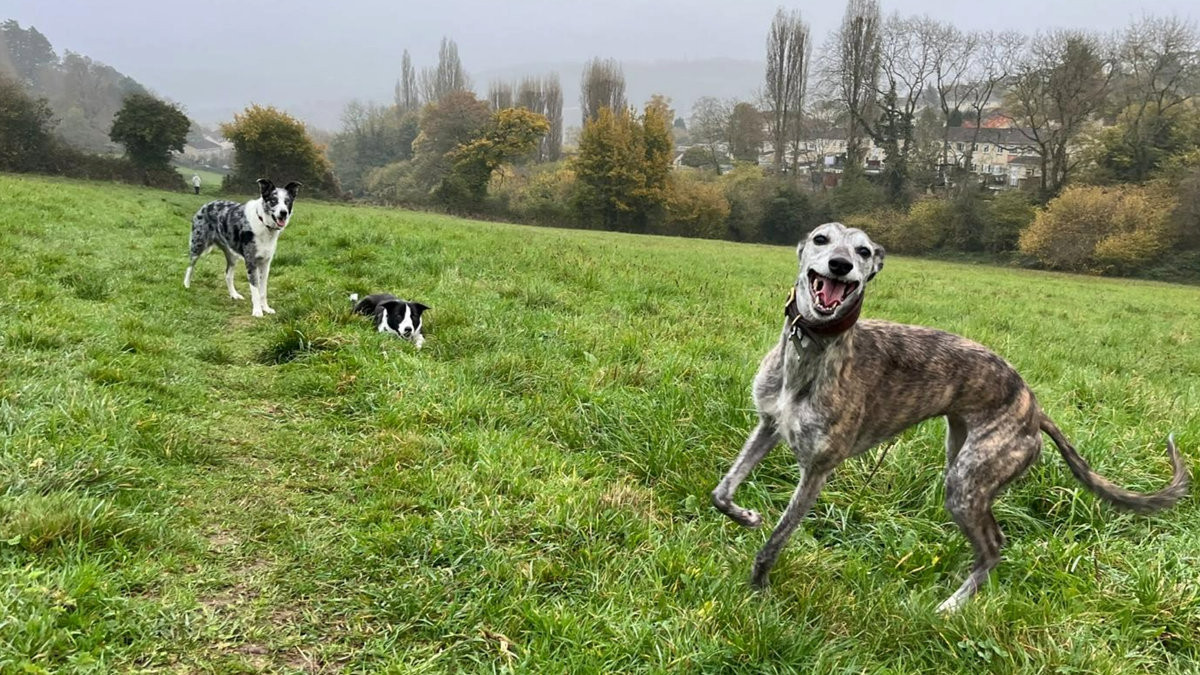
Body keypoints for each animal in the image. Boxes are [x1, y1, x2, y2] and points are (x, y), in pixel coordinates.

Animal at [710, 220, 1190, 610]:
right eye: (820, 239)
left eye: (863, 251)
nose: (841, 265)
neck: (813, 350)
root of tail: (1034, 406)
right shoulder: (768, 426)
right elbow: (722, 491)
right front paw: (746, 516)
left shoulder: (817, 469)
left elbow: (778, 537)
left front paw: (758, 590)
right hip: (961, 455)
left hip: (967, 481)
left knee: (994, 545)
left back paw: (951, 606)